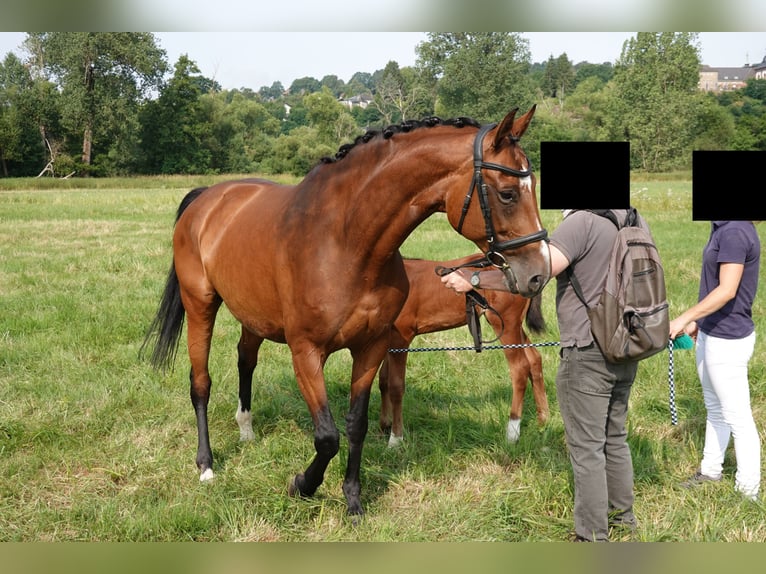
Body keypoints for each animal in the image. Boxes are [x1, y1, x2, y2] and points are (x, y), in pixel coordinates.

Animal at [380, 256, 548, 450]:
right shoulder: (387, 340)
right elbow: (383, 380)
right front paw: (384, 426)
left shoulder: (402, 338)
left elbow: (396, 387)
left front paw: (395, 440)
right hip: (514, 327)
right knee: (535, 358)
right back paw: (543, 420)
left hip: (506, 324)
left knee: (520, 368)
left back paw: (512, 432)